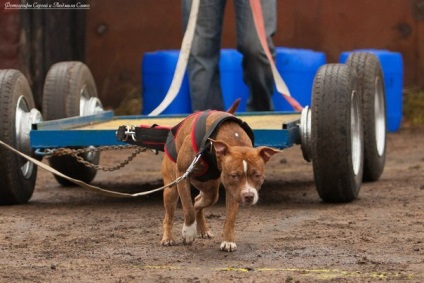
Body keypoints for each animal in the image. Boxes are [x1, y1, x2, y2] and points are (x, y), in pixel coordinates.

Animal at [159, 103, 278, 253]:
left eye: (257, 175)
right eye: (235, 175)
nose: (249, 196)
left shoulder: (234, 190)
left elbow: (230, 217)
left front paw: (228, 241)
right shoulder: (182, 174)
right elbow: (188, 209)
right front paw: (188, 232)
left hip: (210, 188)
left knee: (198, 201)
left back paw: (203, 229)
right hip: (172, 187)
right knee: (170, 214)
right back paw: (168, 238)